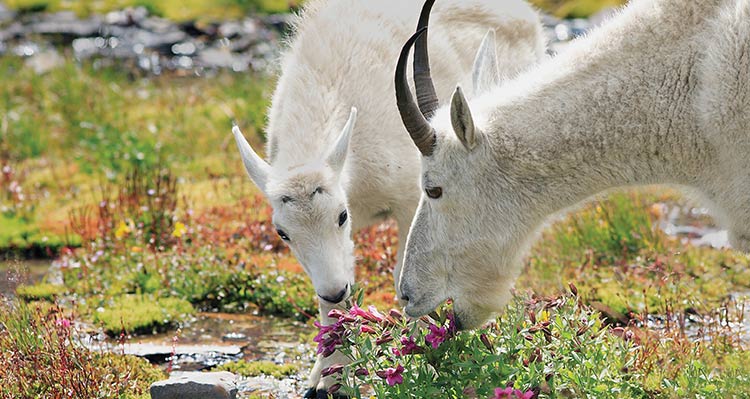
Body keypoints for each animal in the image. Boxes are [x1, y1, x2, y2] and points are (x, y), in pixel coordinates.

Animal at [231, 0, 548, 396]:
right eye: (282, 234)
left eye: (340, 216)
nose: (333, 290)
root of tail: (526, 13)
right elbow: (334, 294)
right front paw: (330, 378)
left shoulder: (411, 202)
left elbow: (404, 281)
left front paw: (421, 364)